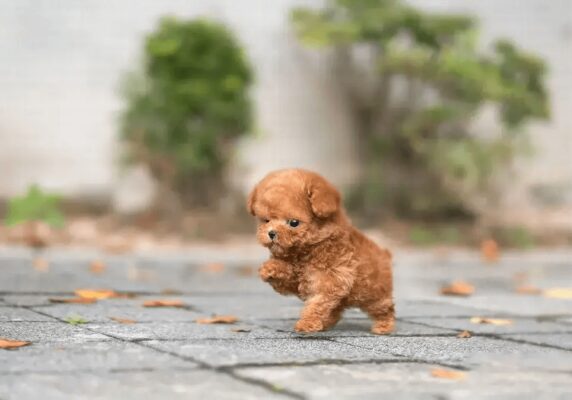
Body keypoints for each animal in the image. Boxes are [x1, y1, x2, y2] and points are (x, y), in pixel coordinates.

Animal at [248, 169, 396, 334]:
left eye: (294, 223)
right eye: (266, 220)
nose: (272, 233)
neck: (307, 250)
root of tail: (384, 254)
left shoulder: (331, 281)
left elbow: (317, 304)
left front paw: (307, 323)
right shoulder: (298, 282)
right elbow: (288, 274)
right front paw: (270, 269)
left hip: (373, 294)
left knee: (384, 308)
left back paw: (383, 326)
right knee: (336, 310)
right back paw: (326, 323)